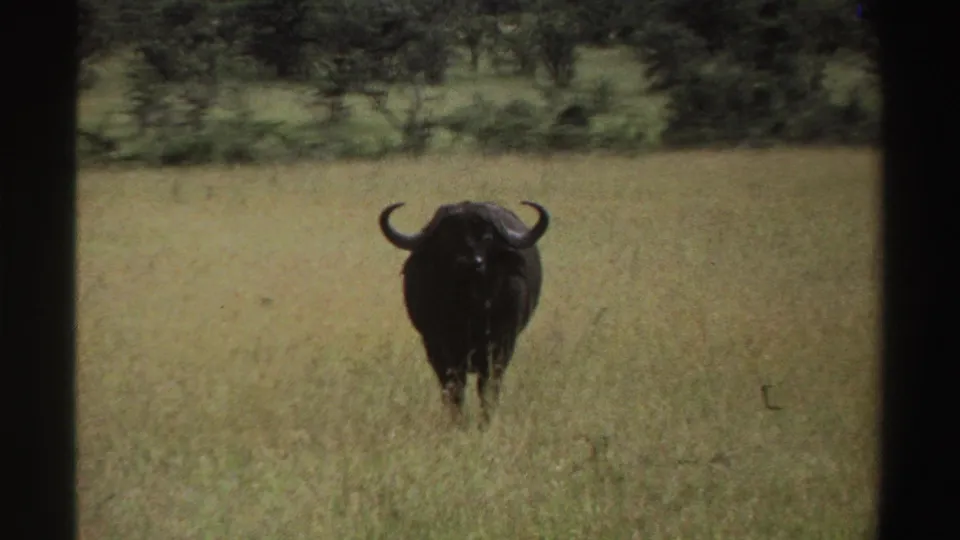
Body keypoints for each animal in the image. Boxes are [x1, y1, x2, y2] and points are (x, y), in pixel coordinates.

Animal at [379, 200, 550, 424]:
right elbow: (454, 389)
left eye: (487, 237)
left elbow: (488, 389)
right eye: (446, 236)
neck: (470, 308)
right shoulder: (437, 348)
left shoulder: (501, 346)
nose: (469, 263)